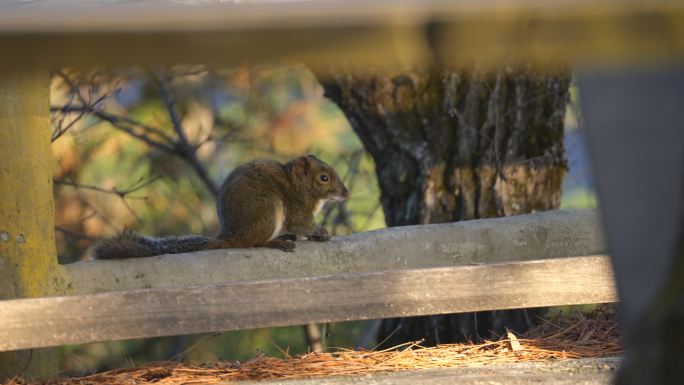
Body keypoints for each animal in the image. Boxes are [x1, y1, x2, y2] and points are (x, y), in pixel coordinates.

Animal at [92, 154, 348, 260]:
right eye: (324, 178)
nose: (345, 193)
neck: (299, 185)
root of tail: (231, 236)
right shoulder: (297, 211)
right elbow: (301, 224)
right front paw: (320, 231)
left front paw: (318, 236)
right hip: (267, 211)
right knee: (253, 243)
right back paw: (277, 242)